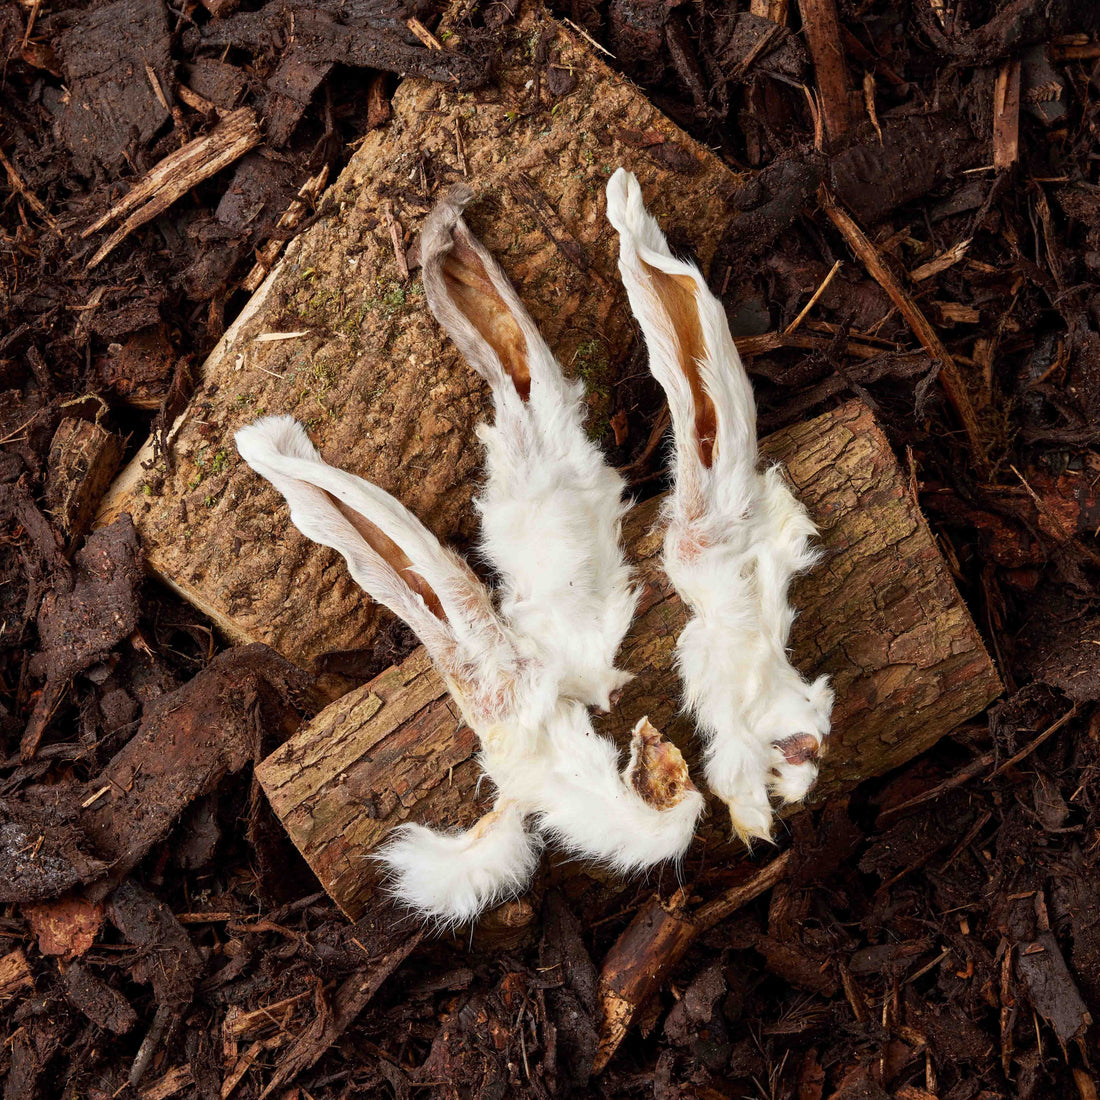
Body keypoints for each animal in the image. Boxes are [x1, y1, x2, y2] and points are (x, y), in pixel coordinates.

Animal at [605, 168, 834, 845]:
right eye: (801, 749)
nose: (807, 779)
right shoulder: (731, 712)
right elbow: (733, 770)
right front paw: (753, 819)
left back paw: (624, 201)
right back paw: (622, 199)